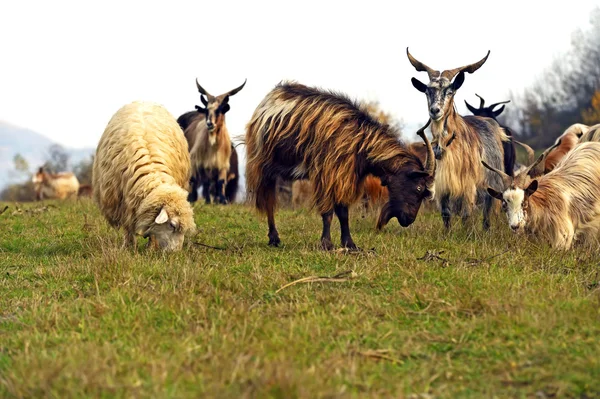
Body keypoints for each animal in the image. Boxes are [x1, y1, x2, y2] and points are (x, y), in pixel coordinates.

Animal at [92, 101, 195, 250]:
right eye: (172, 225)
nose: (175, 253)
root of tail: (142, 101)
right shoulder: (123, 203)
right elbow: (128, 227)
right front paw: (128, 247)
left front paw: (151, 247)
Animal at [245, 81, 436, 250]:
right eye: (419, 187)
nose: (409, 219)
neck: (361, 142)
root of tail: (270, 97)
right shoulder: (327, 174)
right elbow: (328, 212)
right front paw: (326, 244)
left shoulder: (345, 176)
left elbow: (343, 213)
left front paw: (349, 244)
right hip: (263, 166)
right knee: (269, 202)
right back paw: (274, 239)